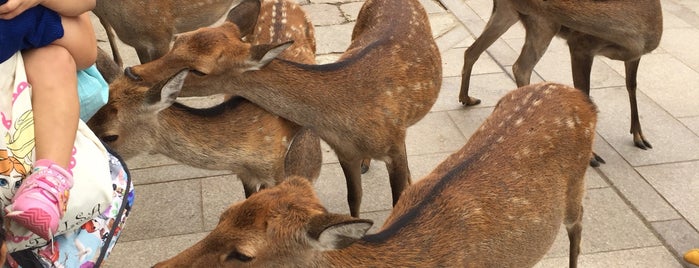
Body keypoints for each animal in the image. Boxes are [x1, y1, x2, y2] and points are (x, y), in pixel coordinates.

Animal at [123, 0, 442, 216]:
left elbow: (398, 200)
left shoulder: (393, 145)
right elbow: (354, 199)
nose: (132, 71)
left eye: (199, 70)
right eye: (180, 39)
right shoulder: (344, 151)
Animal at [152, 81, 596, 268]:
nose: (159, 267)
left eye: (243, 255)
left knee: (578, 225)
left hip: (576, 189)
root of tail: (578, 96)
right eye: (223, 214)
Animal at [456, 0, 664, 154]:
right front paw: (592, 156)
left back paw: (467, 98)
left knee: (472, 51)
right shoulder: (580, 44)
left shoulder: (634, 56)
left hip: (512, 13)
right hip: (542, 23)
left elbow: (632, 85)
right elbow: (585, 95)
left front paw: (639, 136)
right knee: (519, 66)